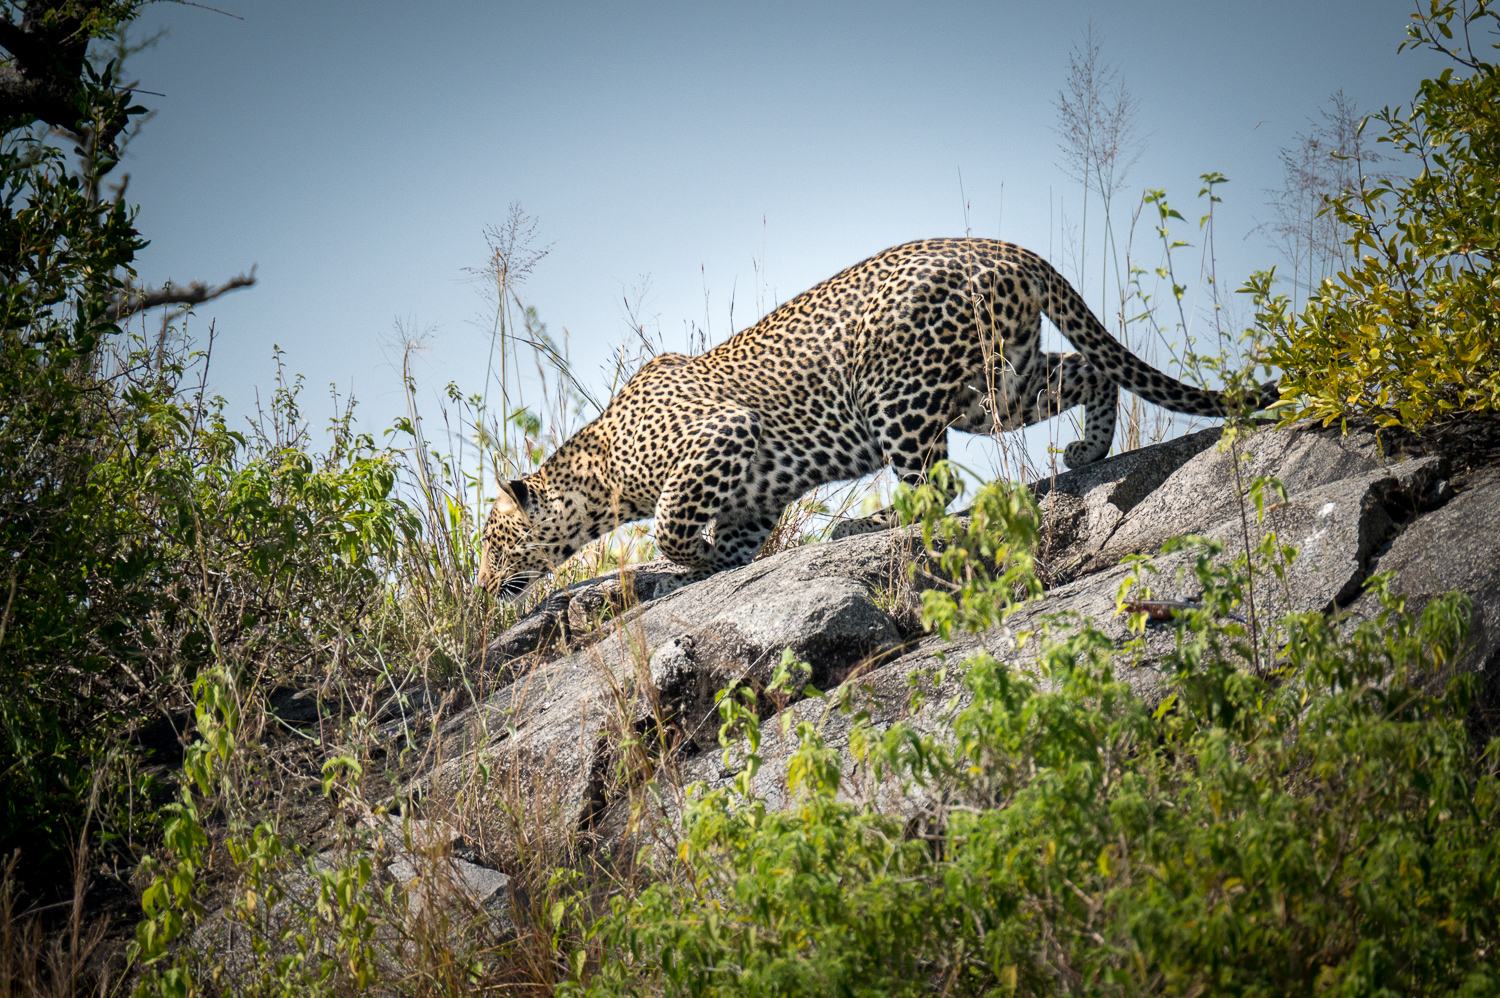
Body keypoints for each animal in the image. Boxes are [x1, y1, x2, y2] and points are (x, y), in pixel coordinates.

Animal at [474, 240, 1272, 600]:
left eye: (490, 542)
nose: (482, 587)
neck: (597, 475)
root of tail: (1001, 245)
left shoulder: (722, 435)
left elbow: (670, 524)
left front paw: (689, 562)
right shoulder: (752, 500)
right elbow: (727, 540)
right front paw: (717, 567)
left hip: (899, 395)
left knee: (938, 491)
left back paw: (867, 522)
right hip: (996, 388)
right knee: (1091, 370)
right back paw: (1089, 452)